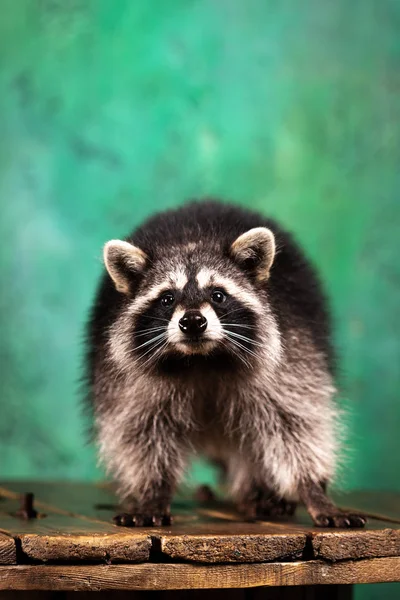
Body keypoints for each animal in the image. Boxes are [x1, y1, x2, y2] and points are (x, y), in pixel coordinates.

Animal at [86, 203, 368, 528]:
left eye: (218, 295)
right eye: (167, 299)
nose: (192, 321)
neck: (202, 359)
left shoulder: (290, 360)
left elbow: (296, 423)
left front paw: (313, 490)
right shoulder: (131, 382)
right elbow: (140, 431)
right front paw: (152, 491)